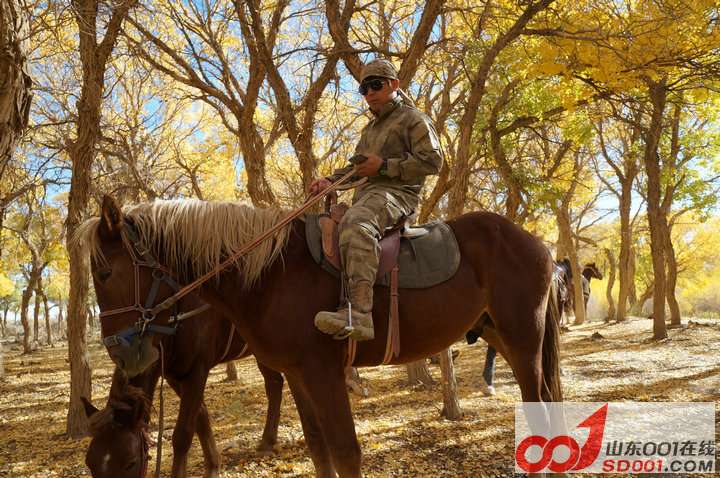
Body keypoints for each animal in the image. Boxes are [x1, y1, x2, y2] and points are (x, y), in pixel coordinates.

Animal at [82, 295, 285, 478]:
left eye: (130, 462)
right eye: (89, 462)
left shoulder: (197, 369)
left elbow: (183, 434)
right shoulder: (173, 375)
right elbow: (201, 415)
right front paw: (213, 466)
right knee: (275, 383)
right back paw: (267, 441)